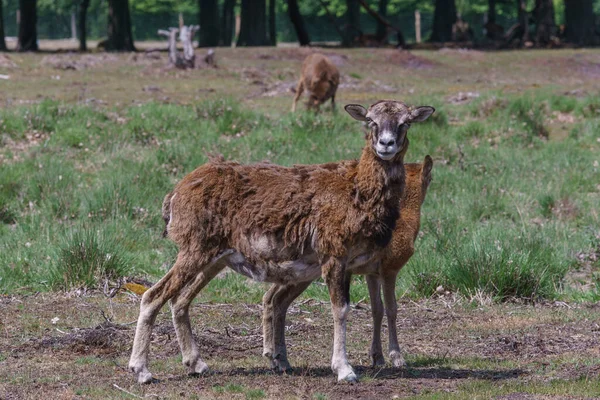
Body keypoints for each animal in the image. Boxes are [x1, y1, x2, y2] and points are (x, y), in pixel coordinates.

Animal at [262, 156, 432, 372]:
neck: (407, 220)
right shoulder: (390, 269)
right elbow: (392, 309)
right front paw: (397, 357)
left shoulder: (371, 273)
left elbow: (377, 309)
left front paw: (377, 357)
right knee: (276, 300)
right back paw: (275, 356)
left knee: (273, 299)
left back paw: (279, 359)